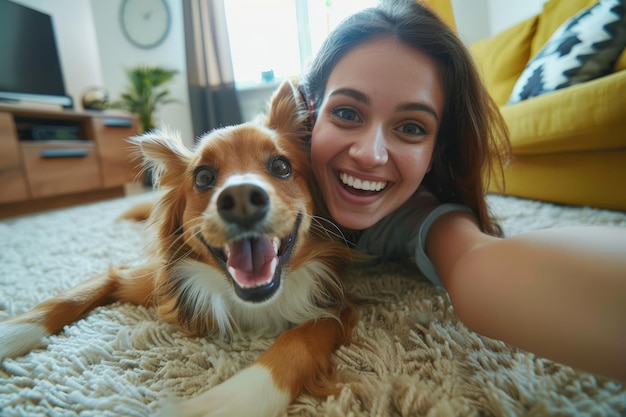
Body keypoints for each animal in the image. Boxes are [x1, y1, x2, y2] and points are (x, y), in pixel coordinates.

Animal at [0, 79, 358, 414]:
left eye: (281, 167)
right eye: (203, 177)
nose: (241, 198)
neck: (246, 302)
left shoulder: (335, 304)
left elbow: (299, 340)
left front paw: (230, 401)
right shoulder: (137, 278)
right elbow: (67, 298)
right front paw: (9, 334)